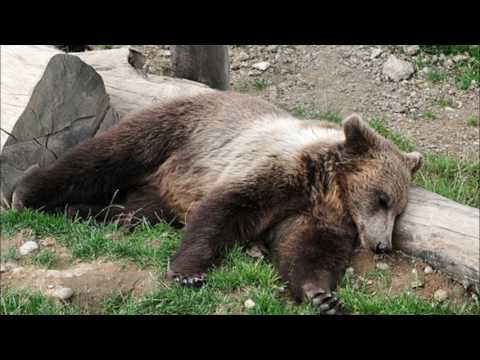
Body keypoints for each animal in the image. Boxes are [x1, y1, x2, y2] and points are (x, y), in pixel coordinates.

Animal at [11, 90, 422, 316]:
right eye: (383, 198)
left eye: (398, 209)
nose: (382, 244)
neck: (325, 185)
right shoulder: (273, 171)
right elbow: (225, 211)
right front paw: (189, 272)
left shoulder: (315, 214)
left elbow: (309, 249)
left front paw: (322, 295)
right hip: (177, 131)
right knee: (106, 155)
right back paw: (25, 191)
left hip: (164, 188)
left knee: (134, 211)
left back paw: (85, 212)